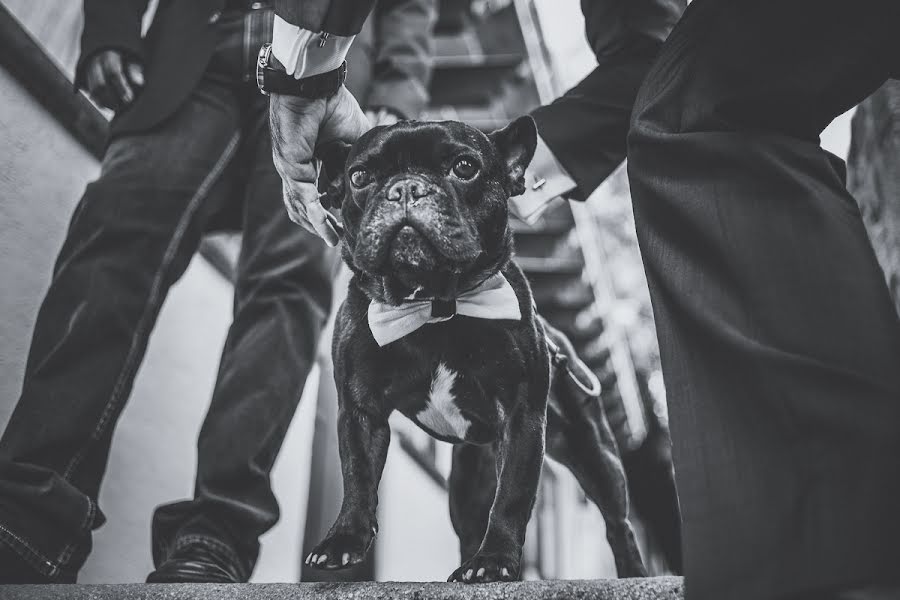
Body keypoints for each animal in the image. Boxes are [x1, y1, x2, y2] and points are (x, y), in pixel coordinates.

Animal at [306, 117, 644, 580]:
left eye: (465, 167)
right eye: (359, 177)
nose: (406, 188)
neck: (434, 305)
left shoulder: (522, 416)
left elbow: (513, 496)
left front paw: (495, 560)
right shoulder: (360, 410)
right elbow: (357, 477)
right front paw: (344, 540)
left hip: (592, 452)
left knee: (618, 521)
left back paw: (633, 569)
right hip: (467, 481)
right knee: (470, 525)